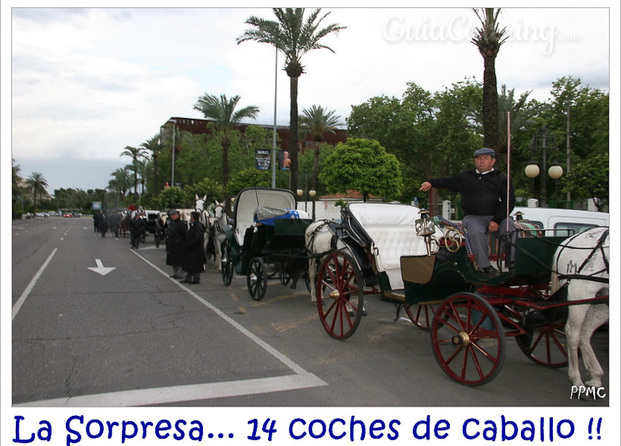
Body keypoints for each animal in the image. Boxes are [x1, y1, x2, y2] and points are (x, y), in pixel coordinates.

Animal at [548, 228, 608, 396]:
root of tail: (568, 240)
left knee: (585, 331)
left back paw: (595, 378)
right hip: (580, 293)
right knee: (572, 332)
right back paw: (577, 381)